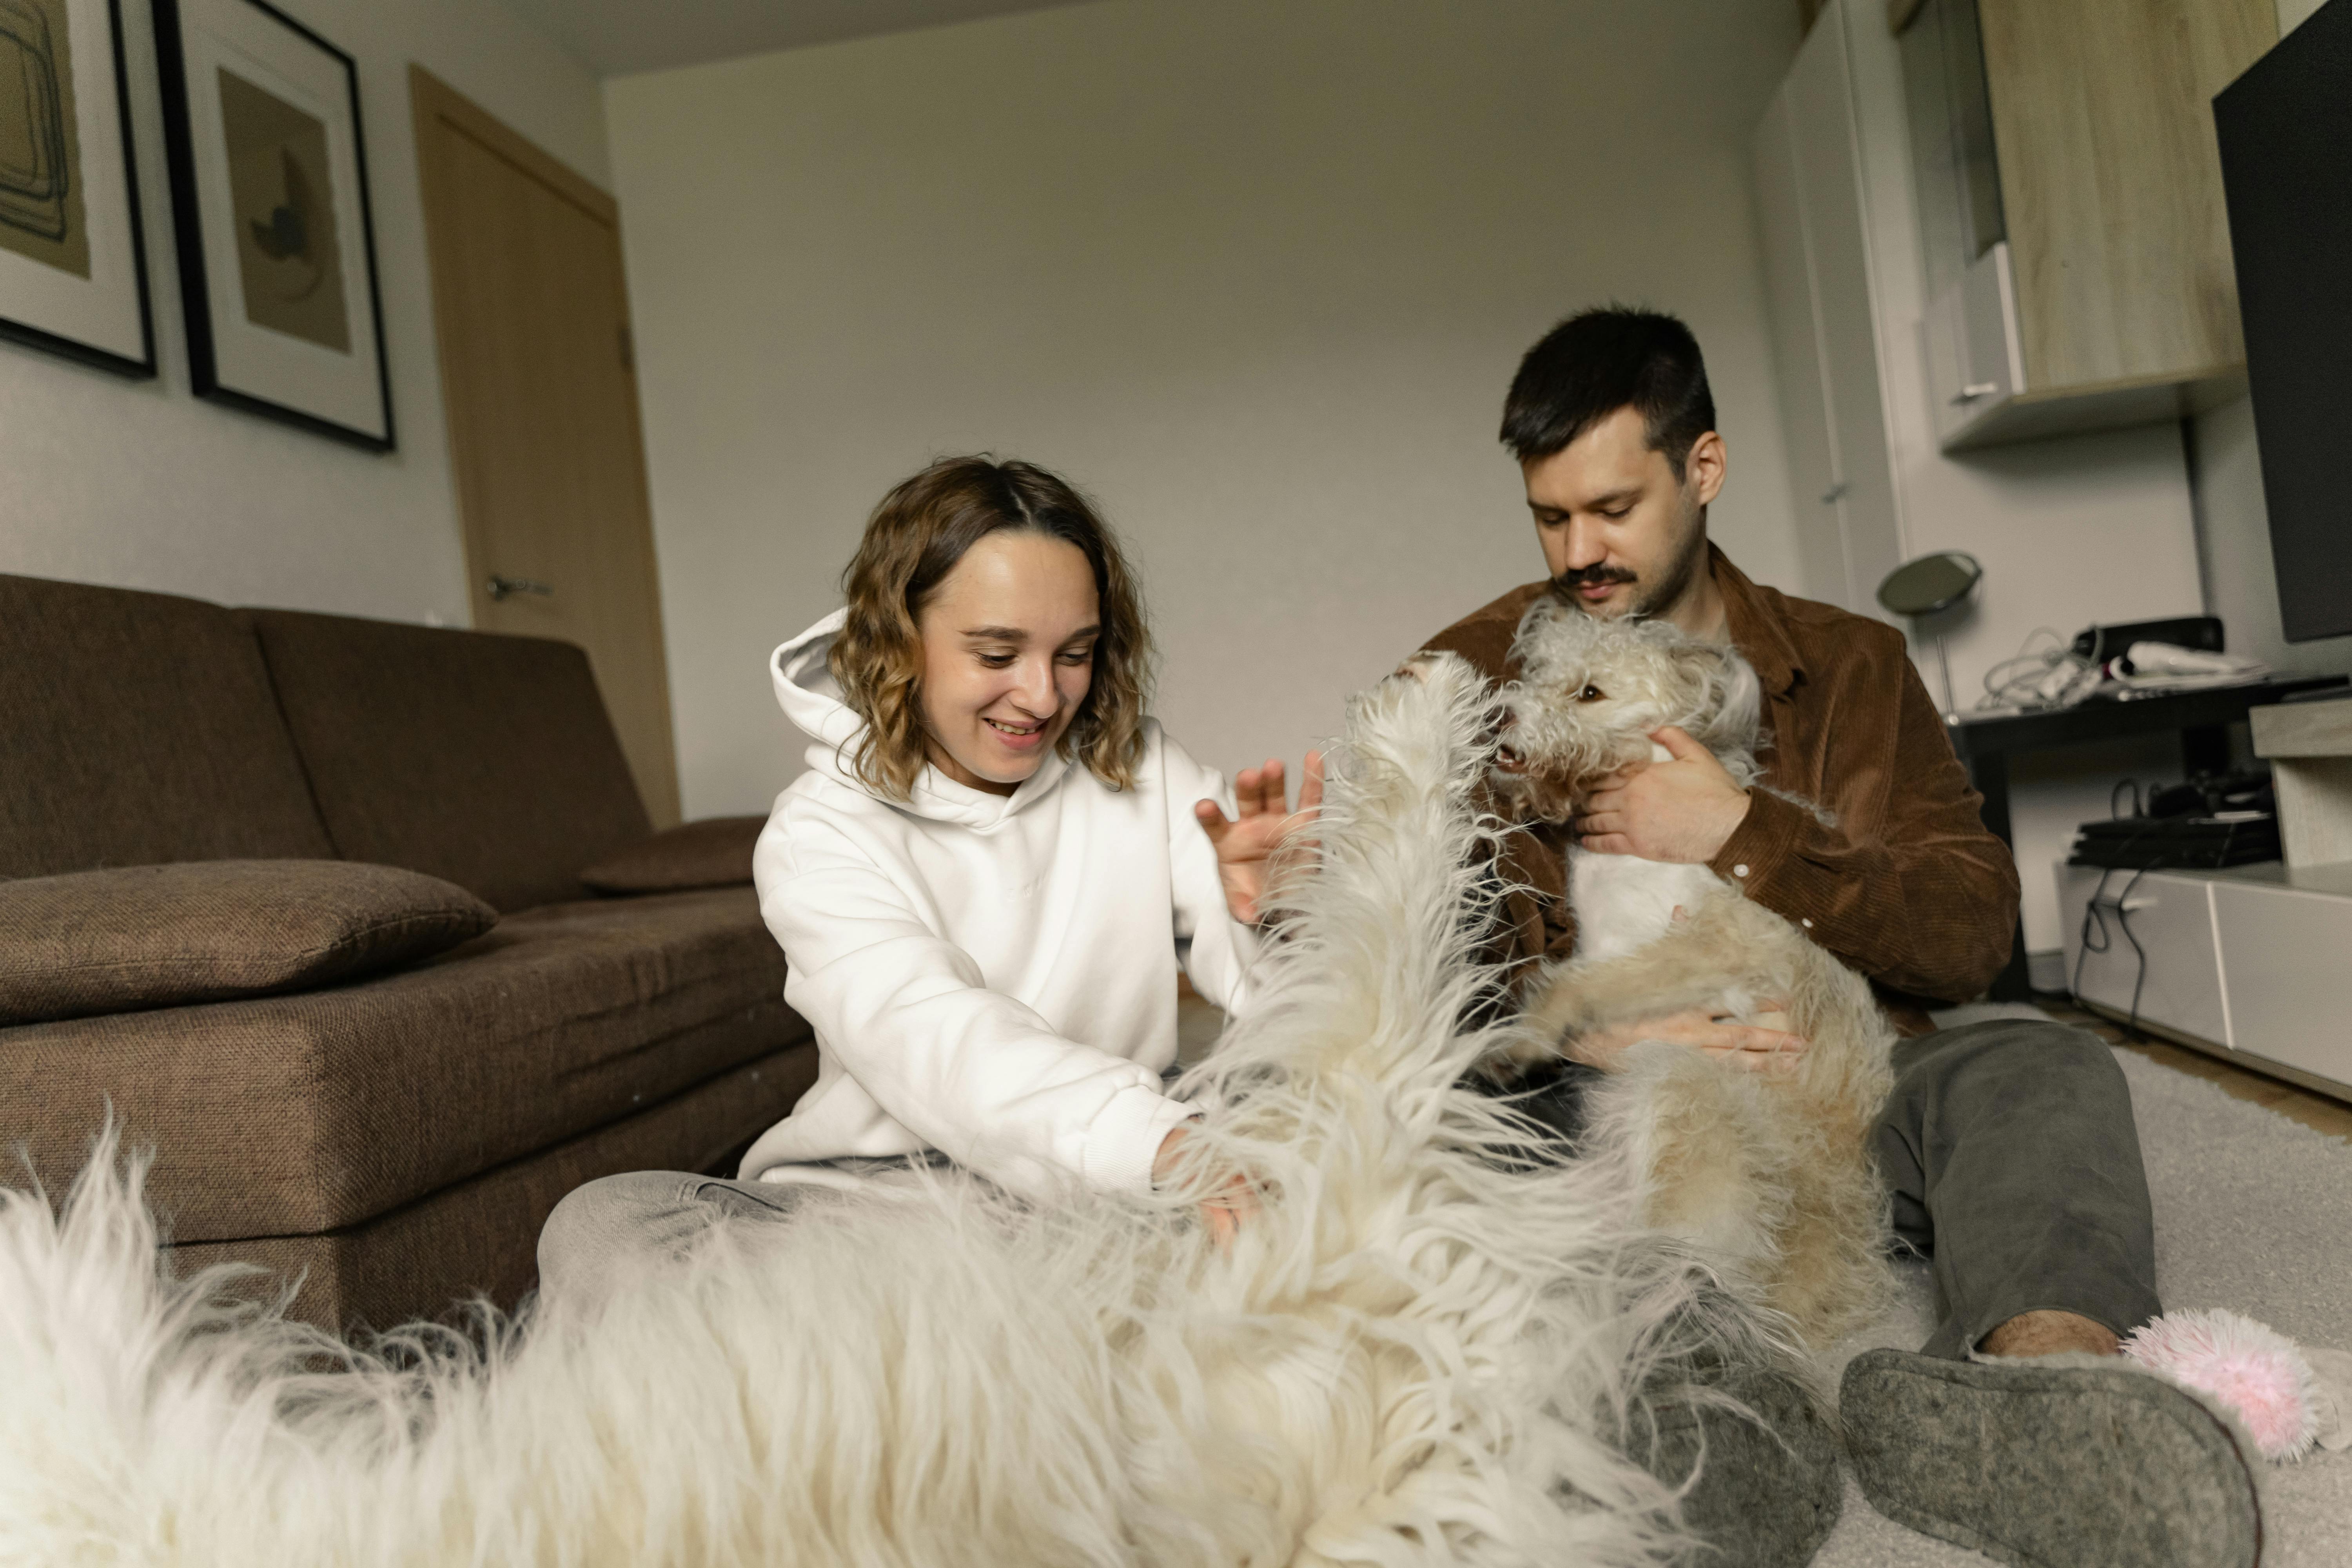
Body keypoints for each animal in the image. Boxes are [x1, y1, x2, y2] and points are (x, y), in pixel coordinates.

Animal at [1496, 602, 1900, 1354]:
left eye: (1589, 693)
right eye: (1535, 672)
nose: (1500, 713)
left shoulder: (1715, 949)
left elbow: (1576, 985)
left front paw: (1527, 1035)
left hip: (1683, 1089)